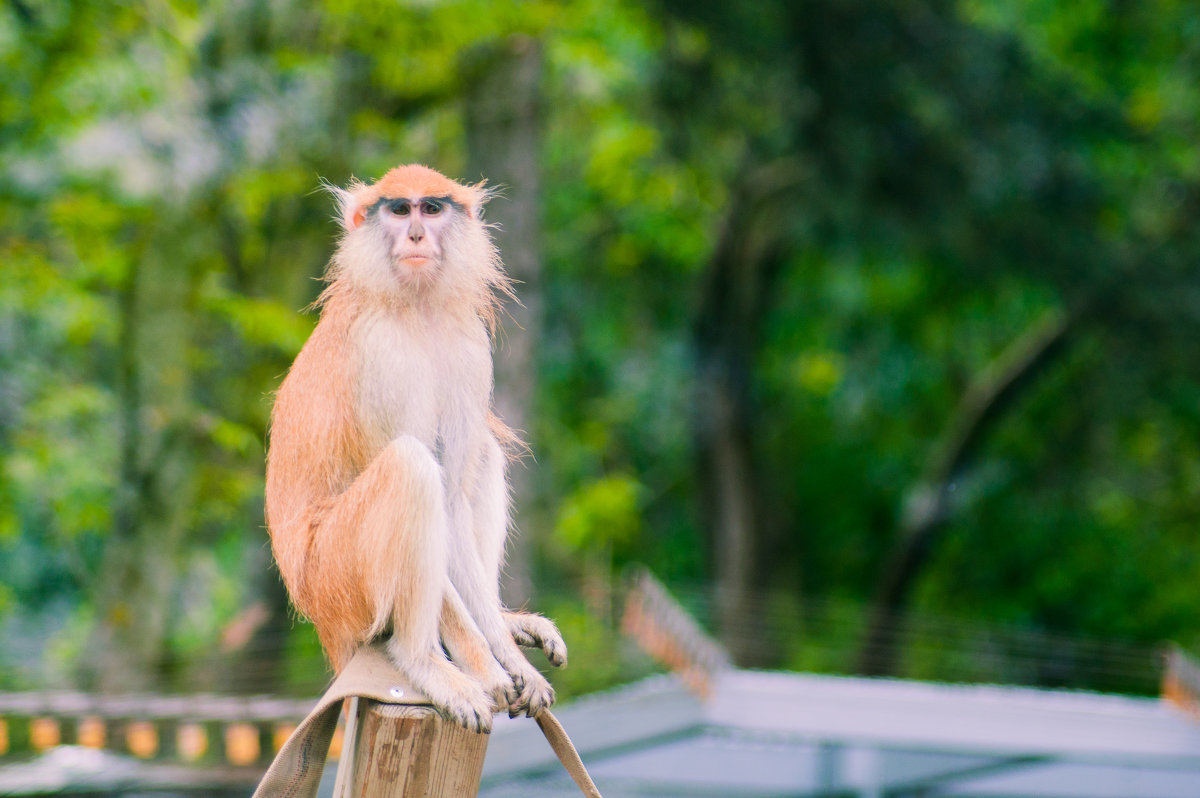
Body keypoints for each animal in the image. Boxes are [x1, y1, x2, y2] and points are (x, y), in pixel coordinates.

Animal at [265, 164, 564, 729]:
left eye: (432, 208)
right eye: (400, 210)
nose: (418, 236)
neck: (416, 307)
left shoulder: (471, 350)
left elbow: (453, 502)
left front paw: (510, 659)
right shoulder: (381, 358)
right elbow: (424, 481)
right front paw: (487, 670)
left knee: (480, 455)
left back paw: (505, 623)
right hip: (338, 579)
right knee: (410, 466)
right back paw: (420, 658)